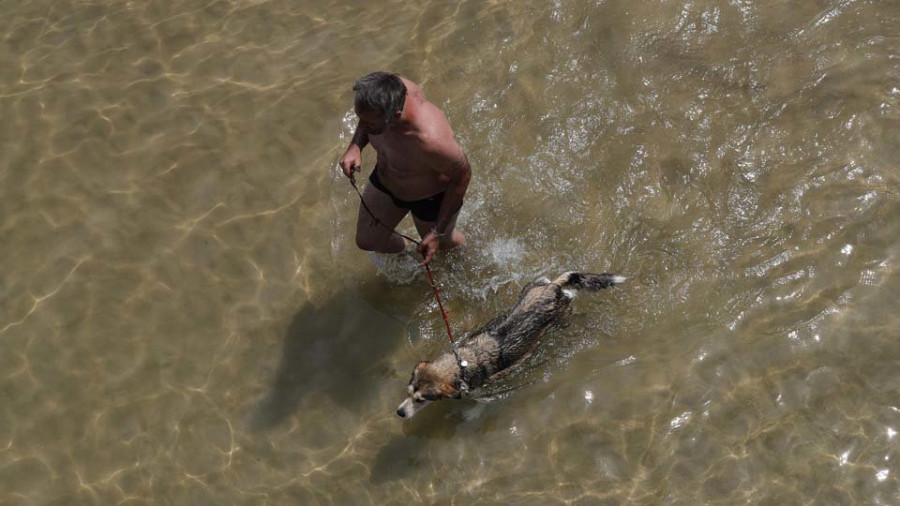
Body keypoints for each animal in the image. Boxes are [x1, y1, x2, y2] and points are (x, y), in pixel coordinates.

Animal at [398, 272, 624, 420]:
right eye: (408, 393)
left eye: (421, 399)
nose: (399, 412)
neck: (461, 362)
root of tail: (553, 287)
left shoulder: (485, 388)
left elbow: (481, 403)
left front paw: (472, 413)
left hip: (562, 318)